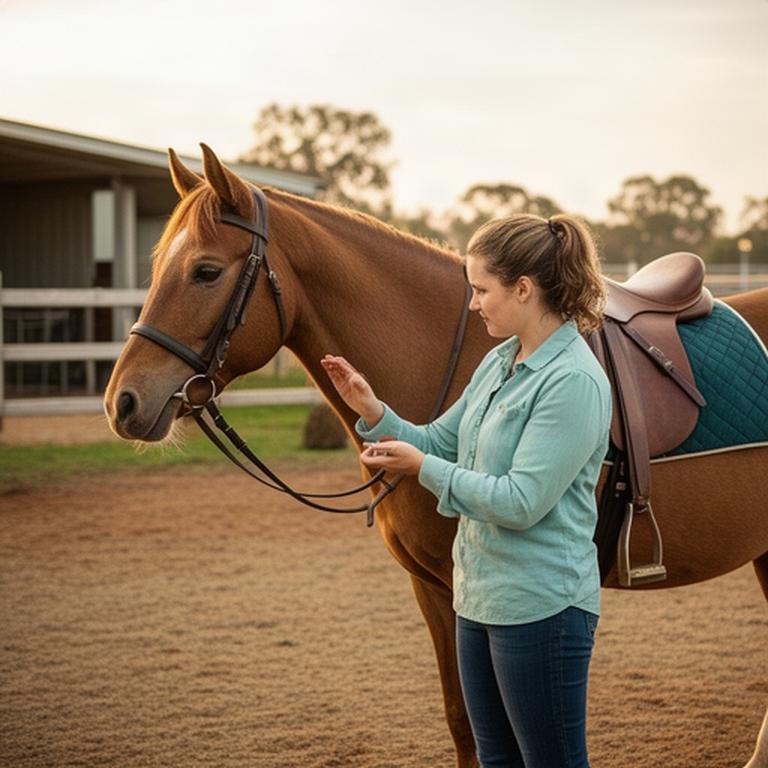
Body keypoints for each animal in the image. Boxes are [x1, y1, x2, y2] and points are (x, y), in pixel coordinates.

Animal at [104, 144, 768, 768]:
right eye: (158, 265)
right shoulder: (434, 589)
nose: (122, 402)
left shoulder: (466, 594)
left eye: (205, 271)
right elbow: (462, 720)